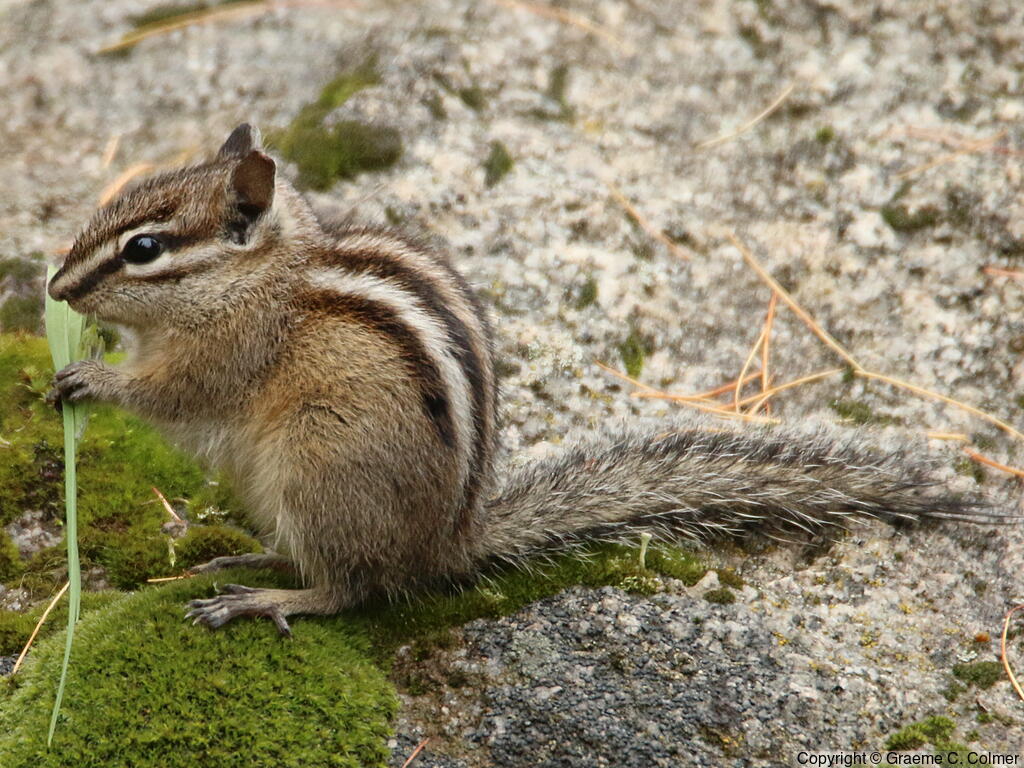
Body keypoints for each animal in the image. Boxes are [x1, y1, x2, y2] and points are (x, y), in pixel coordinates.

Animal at [47, 124, 1001, 636]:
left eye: (144, 248)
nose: (55, 289)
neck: (261, 276)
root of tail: (447, 542)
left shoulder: (230, 351)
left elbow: (170, 395)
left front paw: (91, 376)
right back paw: (250, 554)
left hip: (316, 463)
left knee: (354, 587)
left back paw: (264, 595)